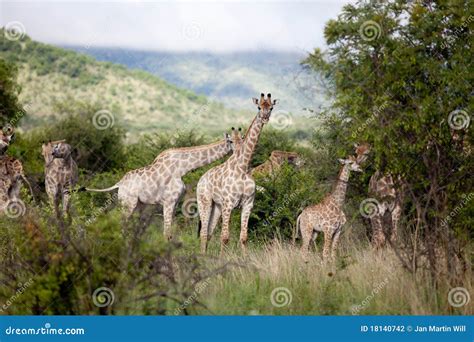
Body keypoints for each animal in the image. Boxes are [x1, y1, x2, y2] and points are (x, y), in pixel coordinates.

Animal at [85, 131, 237, 240]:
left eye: (240, 138)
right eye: (231, 141)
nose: (238, 150)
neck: (183, 167)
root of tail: (119, 183)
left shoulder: (175, 202)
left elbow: (169, 233)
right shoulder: (168, 201)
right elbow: (166, 233)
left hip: (138, 204)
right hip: (128, 203)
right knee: (121, 222)